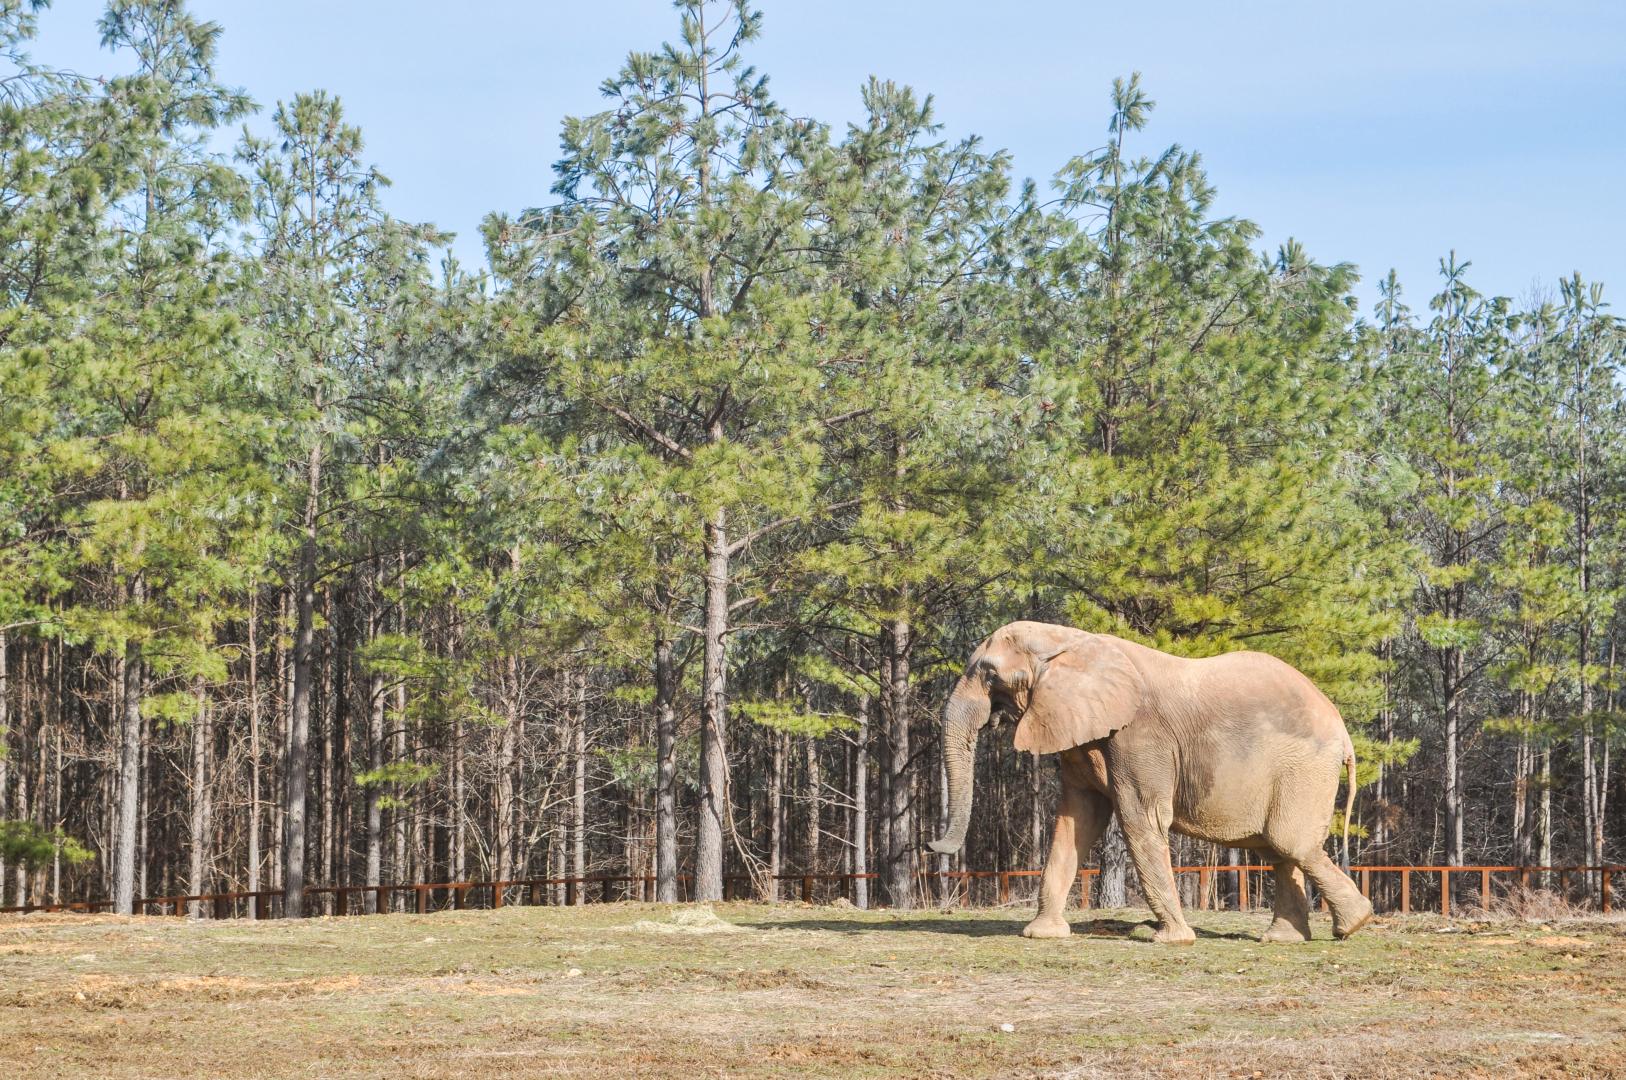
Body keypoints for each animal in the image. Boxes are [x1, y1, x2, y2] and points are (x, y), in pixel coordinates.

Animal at [928, 620, 1373, 944]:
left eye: (990, 675)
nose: (930, 846)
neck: (1071, 641)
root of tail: (1344, 731)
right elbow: (1077, 819)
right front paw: (1042, 935)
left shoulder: (1139, 735)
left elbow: (1140, 818)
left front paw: (1172, 940)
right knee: (1279, 851)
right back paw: (1285, 939)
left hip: (1304, 769)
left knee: (1289, 842)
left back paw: (1353, 925)